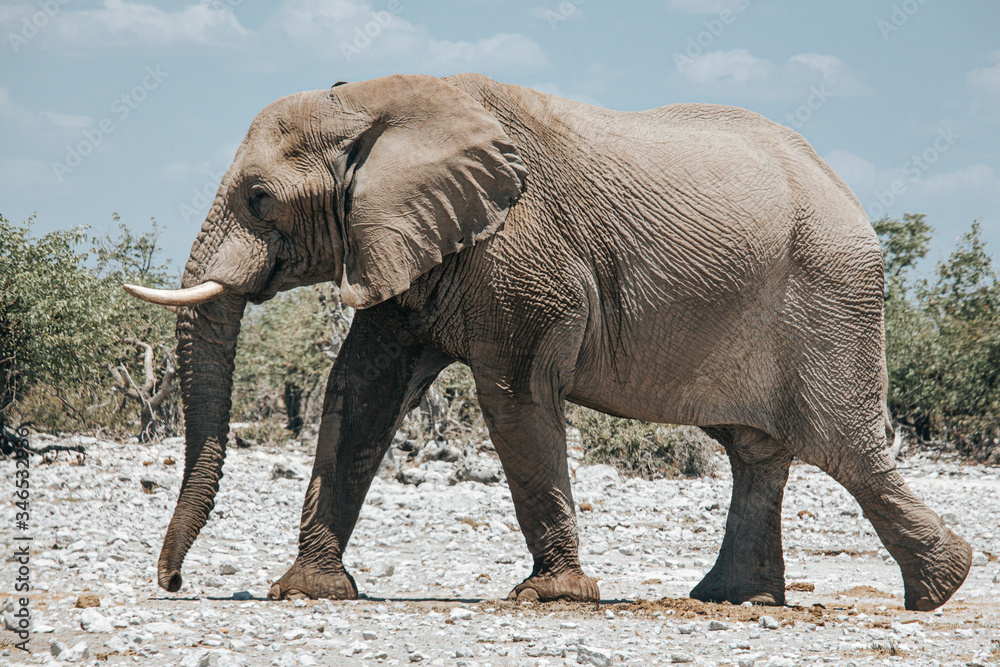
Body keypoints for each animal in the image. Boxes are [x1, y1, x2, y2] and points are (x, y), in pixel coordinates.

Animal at [127, 72, 976, 612]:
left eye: (260, 199)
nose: (171, 583)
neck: (378, 101)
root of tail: (847, 192)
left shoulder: (520, 250)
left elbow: (514, 394)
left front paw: (550, 597)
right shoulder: (413, 241)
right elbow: (361, 391)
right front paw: (307, 592)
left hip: (832, 297)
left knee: (844, 447)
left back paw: (941, 588)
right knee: (753, 450)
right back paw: (735, 598)